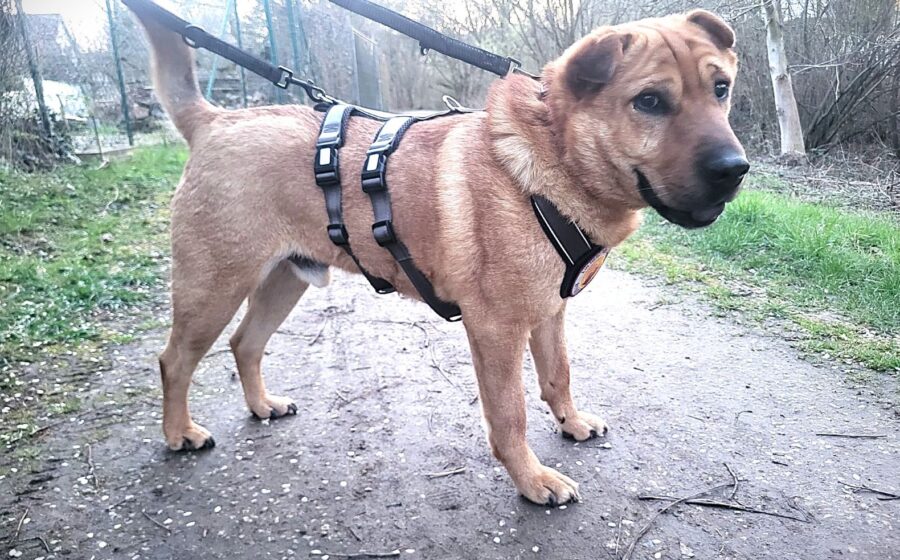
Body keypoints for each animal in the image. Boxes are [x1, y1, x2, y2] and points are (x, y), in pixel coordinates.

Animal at [130, 6, 747, 505]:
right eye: (650, 102)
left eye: (720, 89)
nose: (735, 170)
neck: (551, 157)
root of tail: (216, 120)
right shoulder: (496, 329)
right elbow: (510, 415)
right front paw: (531, 480)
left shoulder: (549, 312)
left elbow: (558, 376)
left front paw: (570, 423)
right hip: (213, 287)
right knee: (174, 360)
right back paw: (179, 433)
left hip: (286, 281)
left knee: (245, 344)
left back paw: (261, 405)